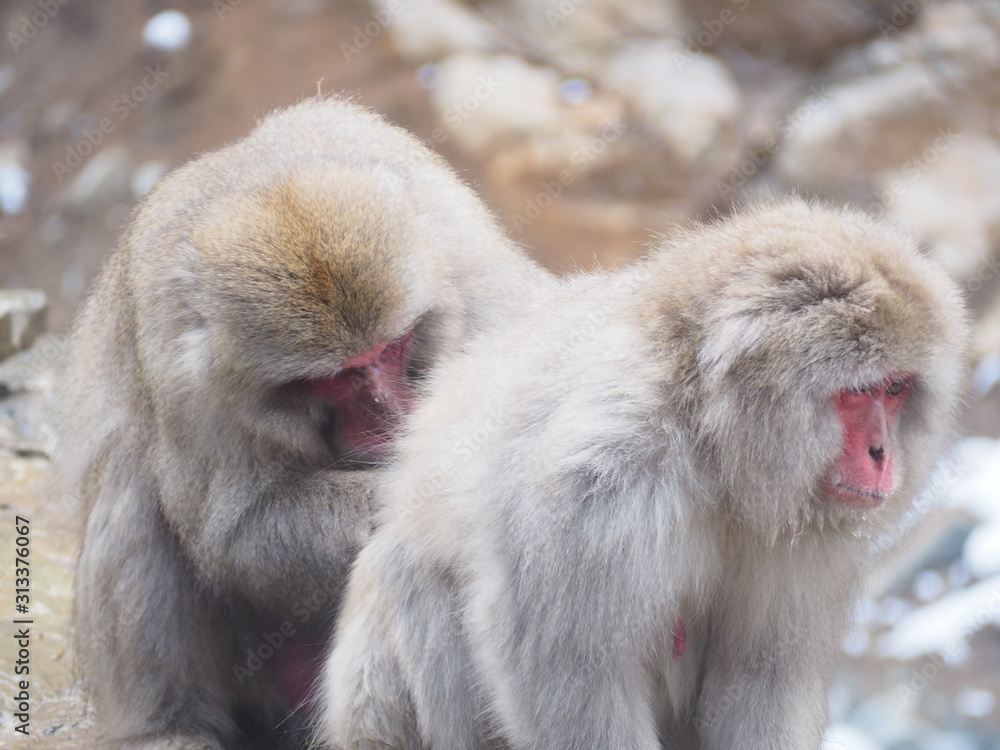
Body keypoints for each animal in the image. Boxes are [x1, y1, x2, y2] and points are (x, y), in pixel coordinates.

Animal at [53, 96, 555, 750]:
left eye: (392, 349)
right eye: (333, 378)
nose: (388, 413)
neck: (266, 178)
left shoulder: (466, 263)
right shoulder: (185, 372)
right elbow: (237, 533)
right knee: (133, 483)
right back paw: (168, 726)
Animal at [319, 200, 969, 749]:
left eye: (895, 390)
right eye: (858, 393)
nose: (883, 453)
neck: (716, 453)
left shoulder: (806, 534)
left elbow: (761, 674)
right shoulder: (593, 486)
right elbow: (567, 676)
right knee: (416, 577)